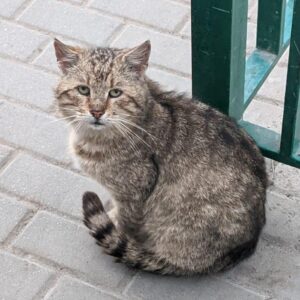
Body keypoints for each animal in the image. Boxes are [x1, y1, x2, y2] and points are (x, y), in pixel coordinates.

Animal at [54, 38, 268, 276]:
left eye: (115, 93)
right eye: (83, 90)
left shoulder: (133, 195)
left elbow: (124, 221)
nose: (97, 112)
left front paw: (116, 225)